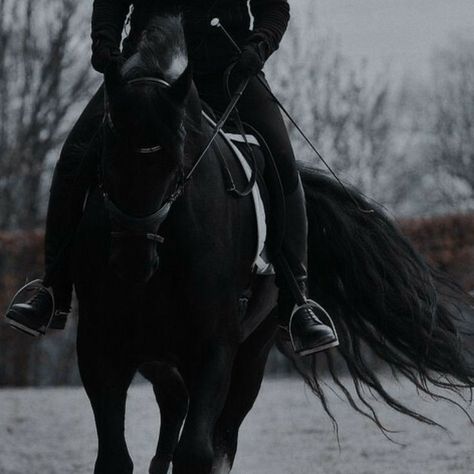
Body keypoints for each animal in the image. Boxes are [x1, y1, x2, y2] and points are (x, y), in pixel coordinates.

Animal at [72, 13, 472, 474]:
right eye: (106, 155)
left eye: (177, 160)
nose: (133, 259)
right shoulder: (100, 348)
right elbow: (114, 457)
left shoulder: (215, 349)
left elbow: (197, 453)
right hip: (163, 357)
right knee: (173, 411)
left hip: (250, 355)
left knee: (216, 435)